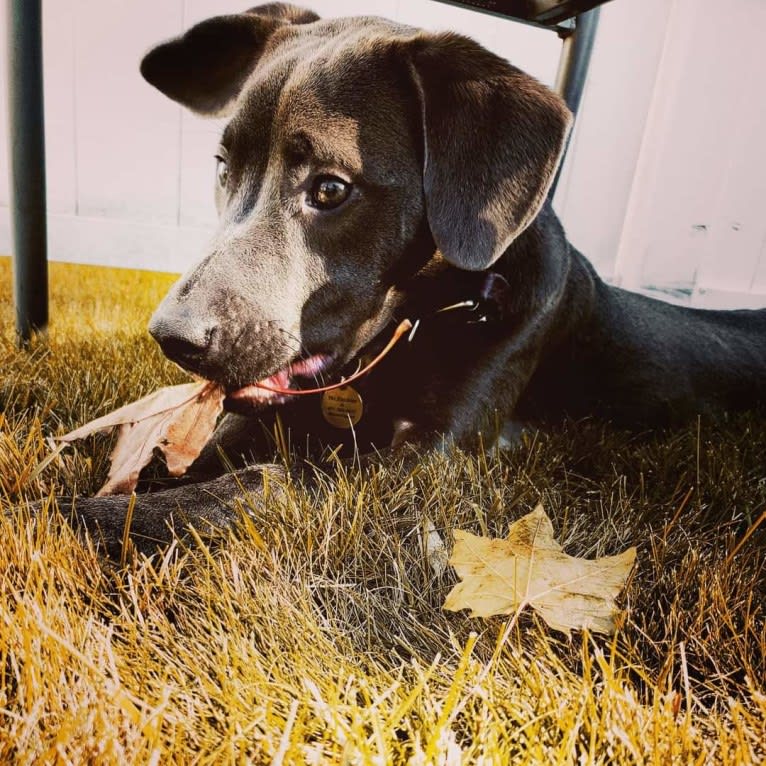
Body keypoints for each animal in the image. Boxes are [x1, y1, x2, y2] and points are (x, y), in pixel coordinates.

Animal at [55, 4, 766, 560]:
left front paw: (95, 516)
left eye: (331, 188)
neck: (445, 310)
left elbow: (272, 479)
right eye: (223, 165)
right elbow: (213, 443)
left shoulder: (429, 454)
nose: (171, 338)